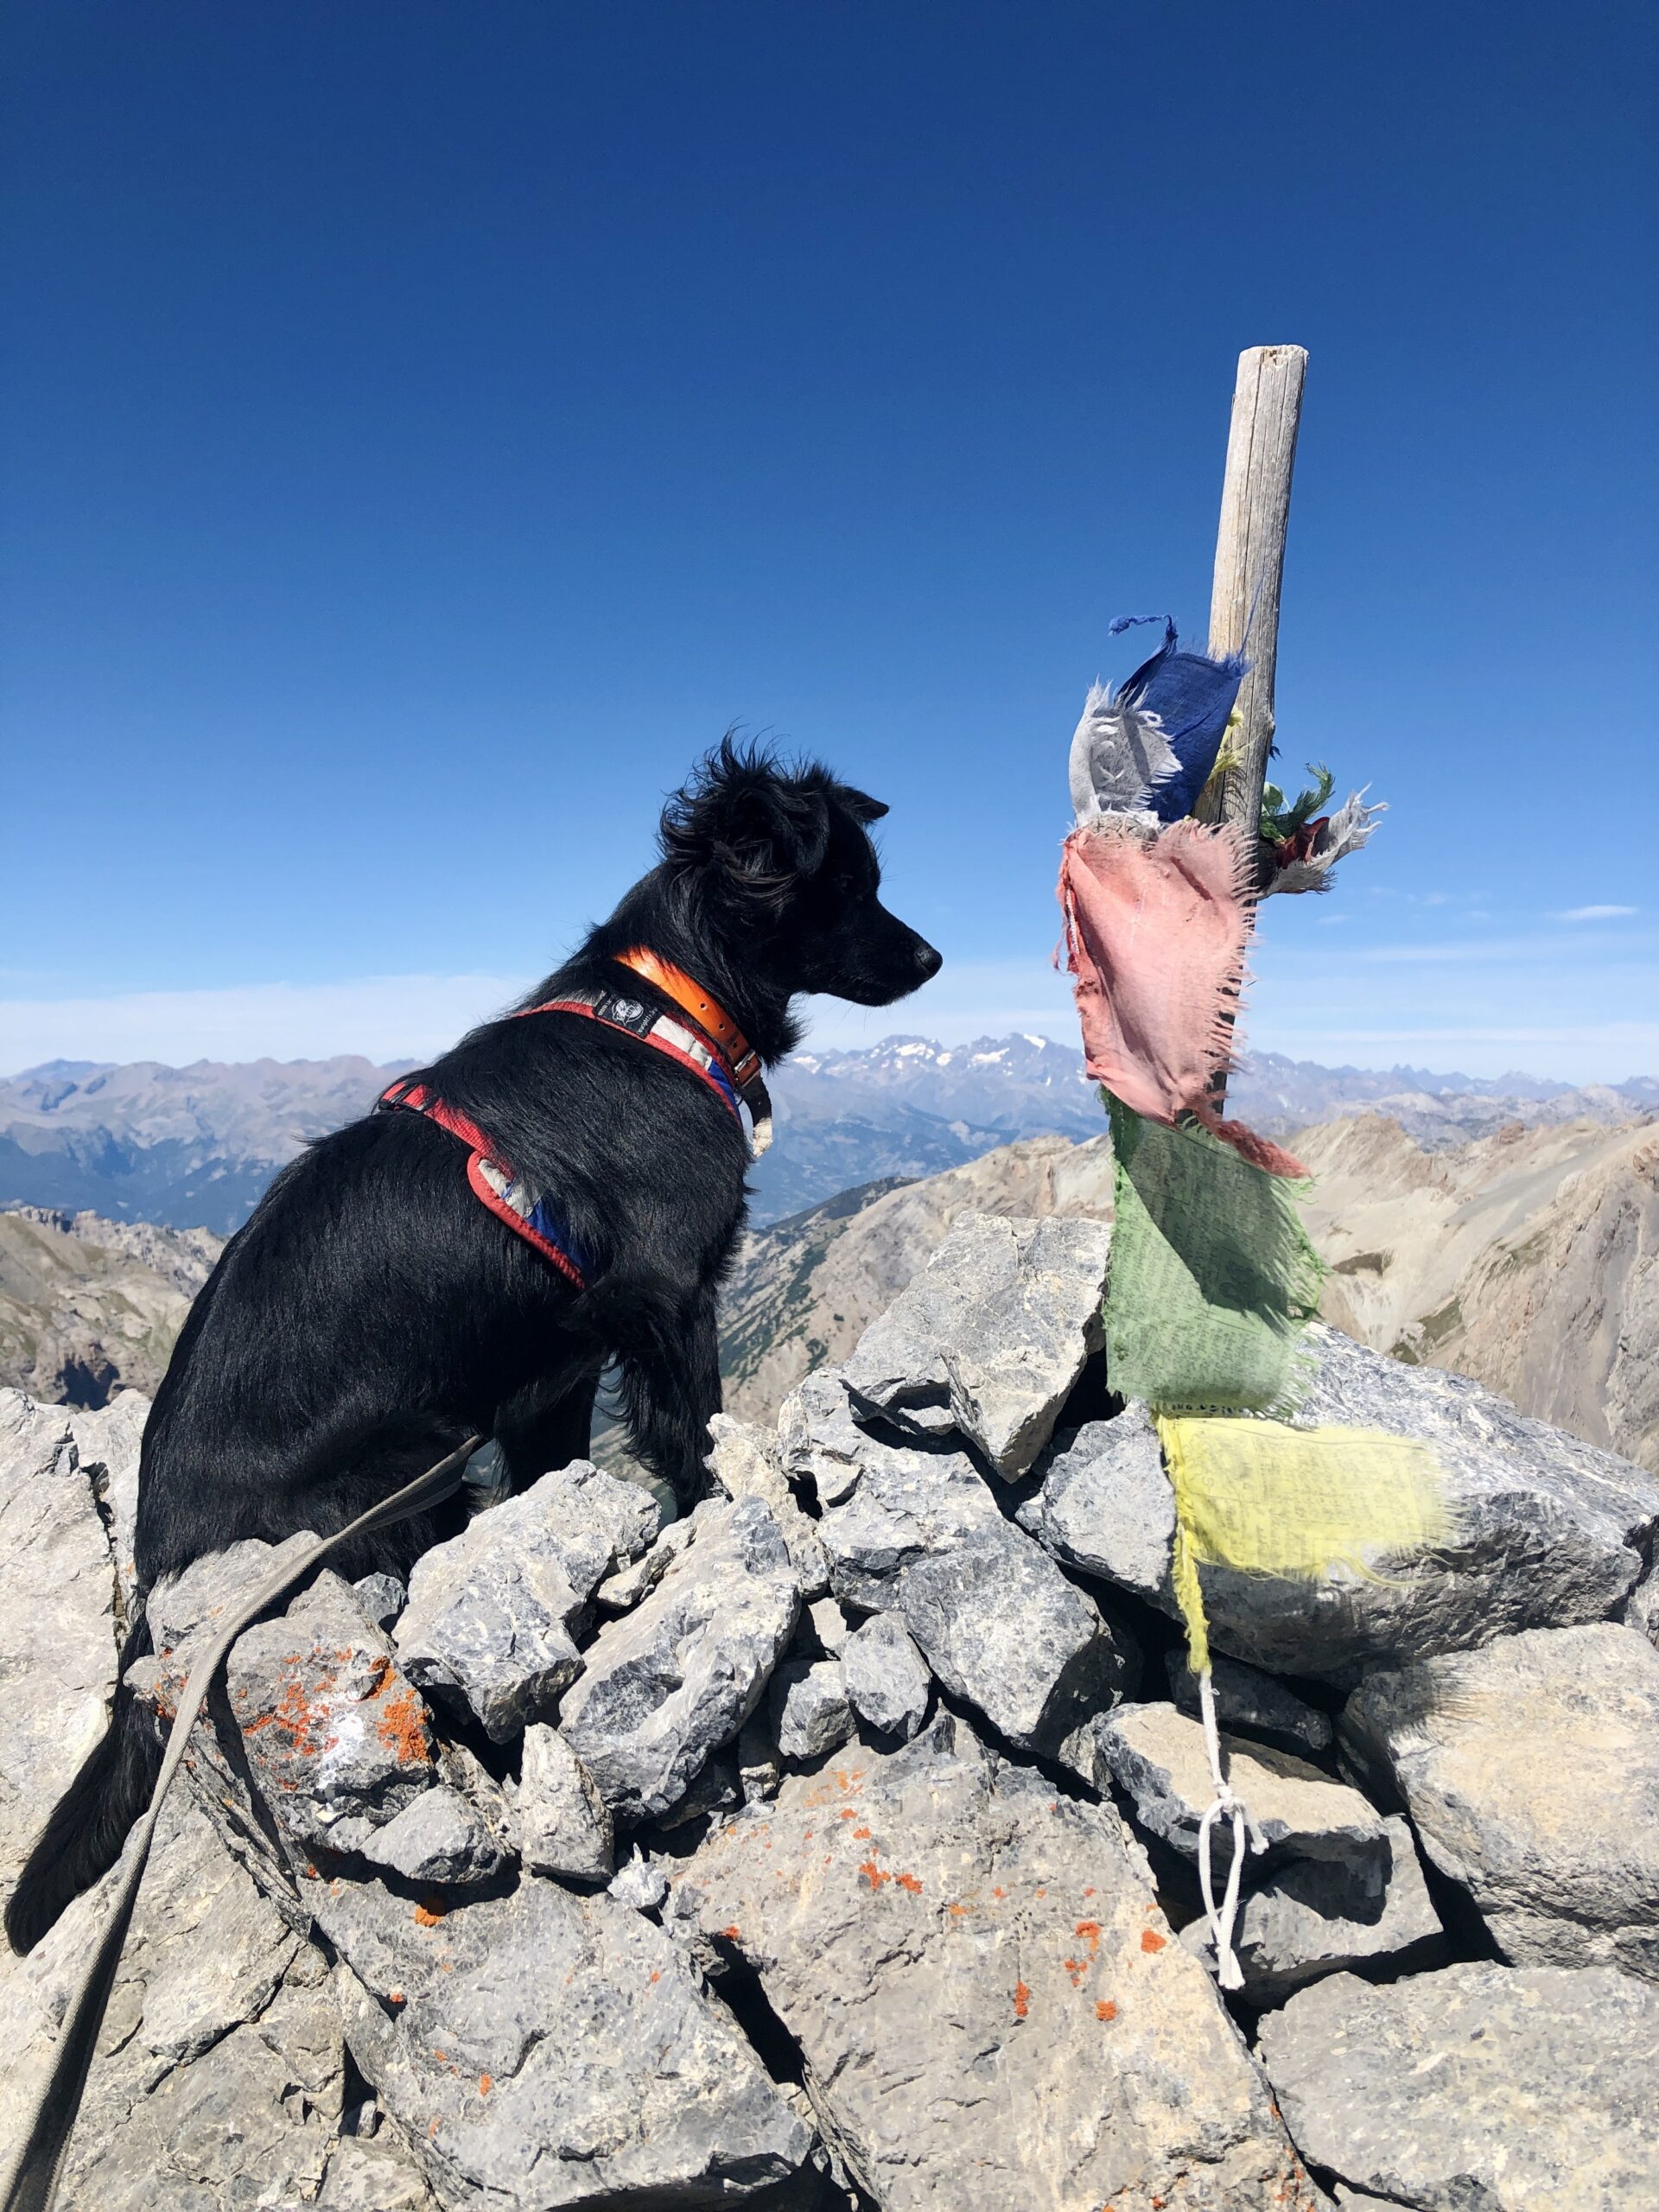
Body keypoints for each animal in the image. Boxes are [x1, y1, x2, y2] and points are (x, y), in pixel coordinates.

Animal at [6, 743, 942, 1955]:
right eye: (849, 885)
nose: (933, 956)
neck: (666, 1012)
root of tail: (158, 1547)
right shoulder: (670, 1299)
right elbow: (693, 1446)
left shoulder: (556, 1380)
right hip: (408, 1463)